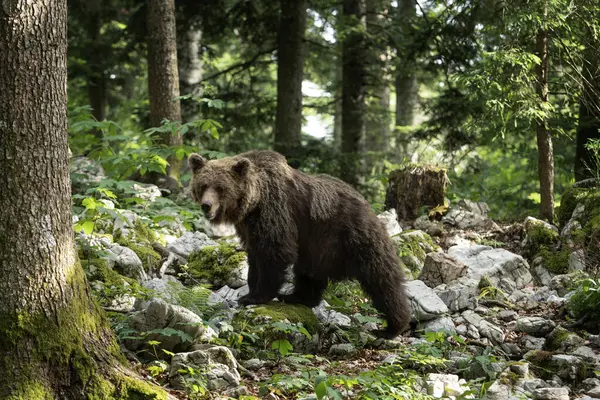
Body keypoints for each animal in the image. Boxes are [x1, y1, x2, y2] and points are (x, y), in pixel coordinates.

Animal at [188, 149, 412, 338]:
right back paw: (296, 297)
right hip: (317, 246)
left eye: (220, 187)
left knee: (381, 277)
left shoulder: (276, 212)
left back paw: (392, 326)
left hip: (353, 236)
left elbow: (274, 252)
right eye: (203, 185)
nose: (206, 206)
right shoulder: (249, 228)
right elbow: (255, 257)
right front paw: (249, 292)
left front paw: (256, 296)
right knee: (308, 272)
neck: (254, 202)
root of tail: (366, 203)